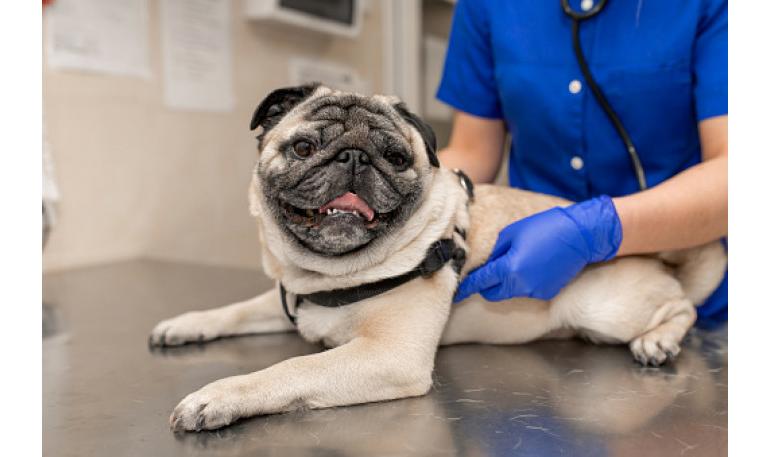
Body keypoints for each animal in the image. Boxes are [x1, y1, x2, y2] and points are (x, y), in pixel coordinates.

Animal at [148, 84, 728, 432]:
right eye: (304, 148)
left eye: (396, 157)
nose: (355, 157)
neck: (328, 273)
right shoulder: (288, 298)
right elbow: (233, 311)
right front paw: (185, 324)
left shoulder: (388, 356)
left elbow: (287, 370)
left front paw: (220, 395)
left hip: (604, 307)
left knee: (684, 307)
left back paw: (658, 340)